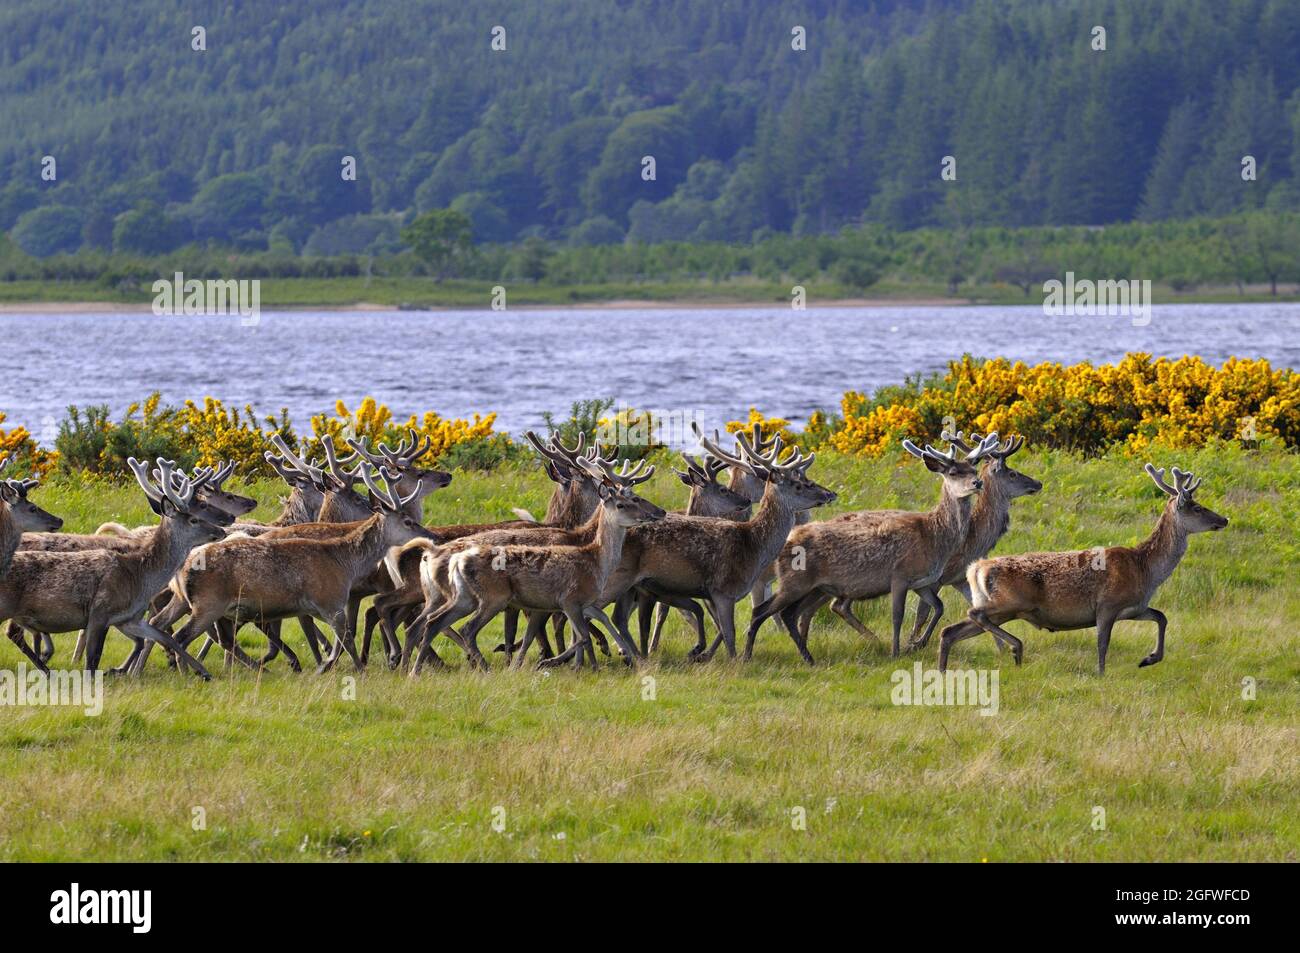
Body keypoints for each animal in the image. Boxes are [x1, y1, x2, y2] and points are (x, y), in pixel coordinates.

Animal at [0, 460, 220, 676]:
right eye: (193, 519)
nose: (221, 530)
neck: (139, 577)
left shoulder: (128, 618)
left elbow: (162, 637)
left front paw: (203, 672)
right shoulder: (100, 611)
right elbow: (92, 659)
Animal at [743, 434, 993, 660]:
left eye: (973, 470)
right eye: (953, 472)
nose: (977, 483)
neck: (933, 537)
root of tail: (787, 541)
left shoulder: (922, 581)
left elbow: (939, 607)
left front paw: (917, 644)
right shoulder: (900, 575)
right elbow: (897, 615)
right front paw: (896, 652)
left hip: (815, 587)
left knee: (792, 614)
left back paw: (806, 655)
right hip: (794, 581)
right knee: (764, 611)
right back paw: (750, 655)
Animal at [935, 465, 1227, 670]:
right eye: (1197, 508)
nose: (1223, 519)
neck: (1145, 571)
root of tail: (976, 568)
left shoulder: (1135, 607)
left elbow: (1161, 616)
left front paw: (1150, 658)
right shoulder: (1107, 605)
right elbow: (1102, 645)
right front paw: (1102, 674)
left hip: (999, 608)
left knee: (951, 631)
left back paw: (944, 671)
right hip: (1010, 602)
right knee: (974, 615)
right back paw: (1016, 647)